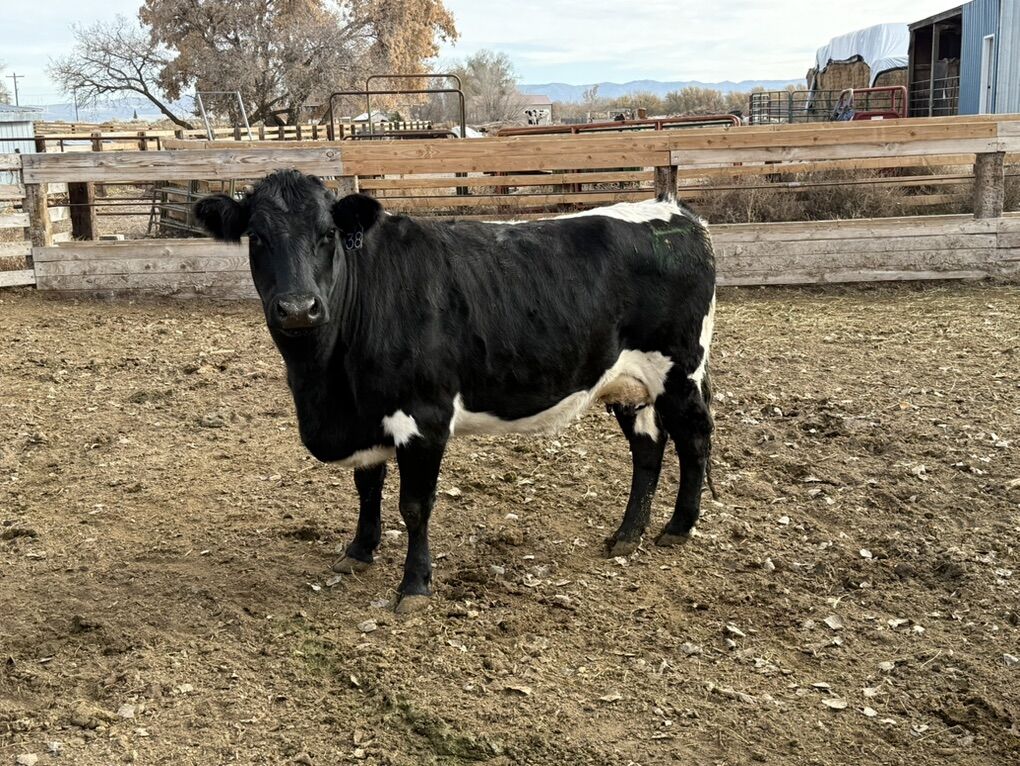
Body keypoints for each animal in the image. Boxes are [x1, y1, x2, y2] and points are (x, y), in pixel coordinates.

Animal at [195, 170, 716, 613]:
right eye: (257, 237)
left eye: (327, 235)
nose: (299, 308)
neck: (326, 387)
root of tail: (676, 212)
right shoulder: (368, 416)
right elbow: (367, 487)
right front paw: (359, 551)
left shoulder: (423, 418)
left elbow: (414, 505)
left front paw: (413, 586)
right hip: (631, 384)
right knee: (647, 447)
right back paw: (628, 533)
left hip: (679, 371)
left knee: (694, 438)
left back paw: (677, 528)